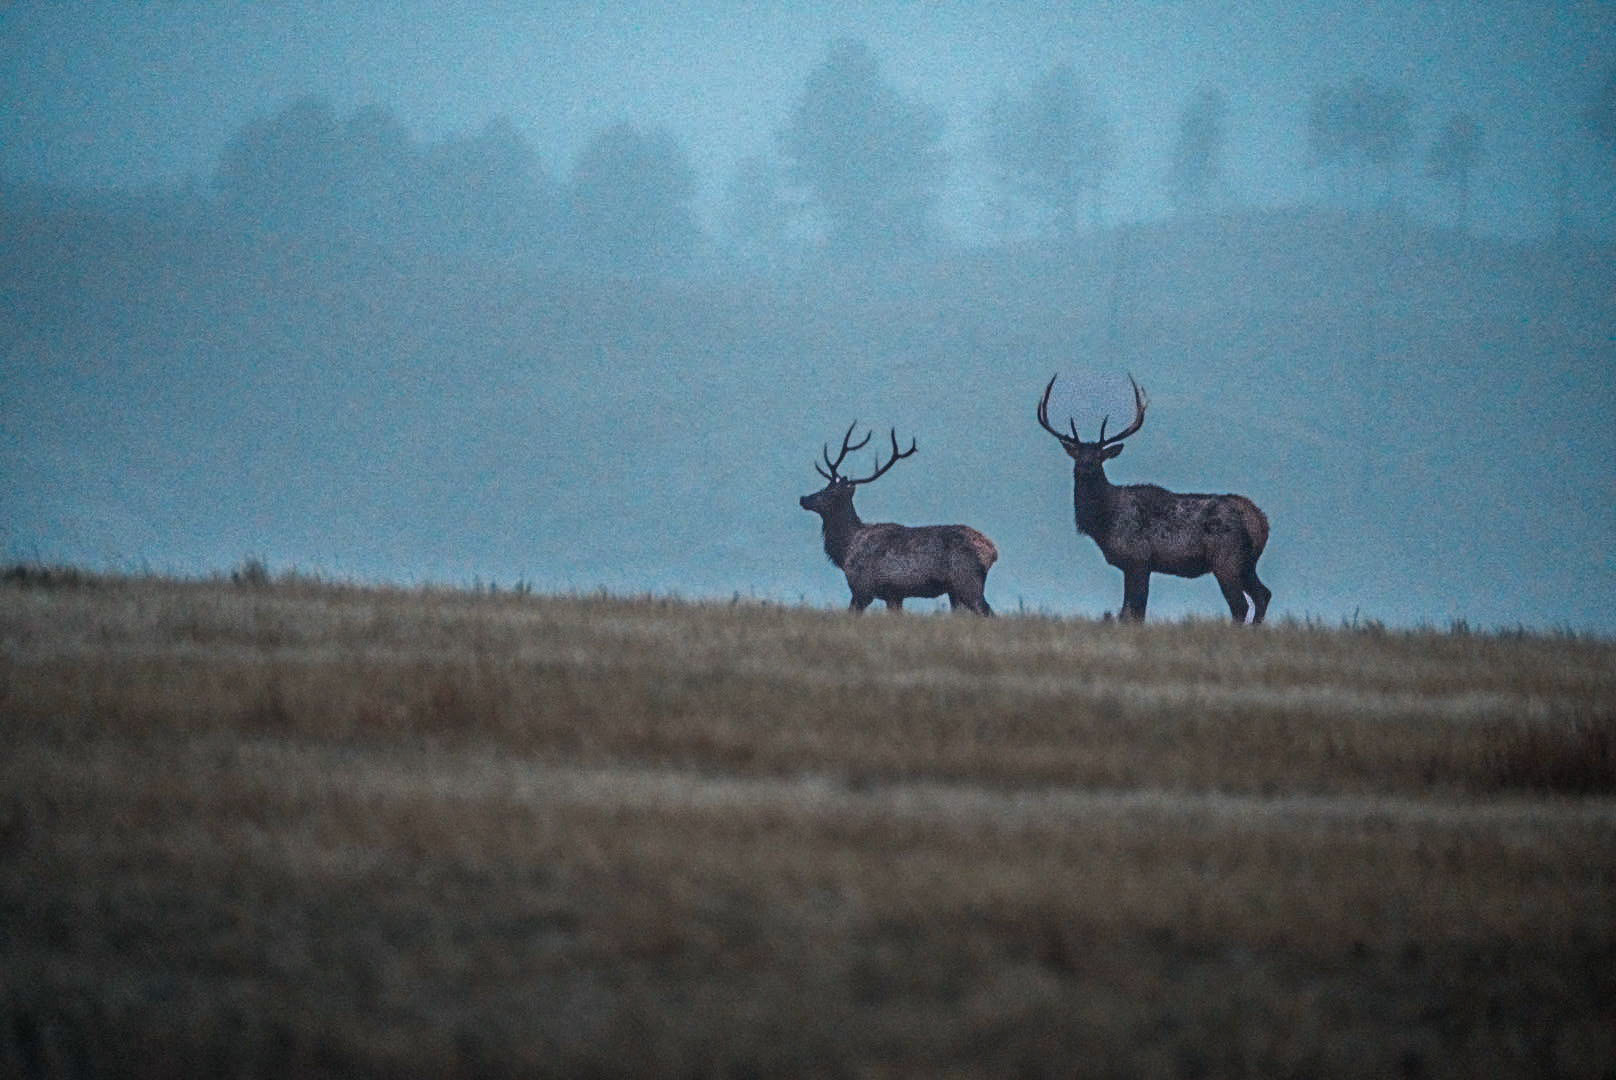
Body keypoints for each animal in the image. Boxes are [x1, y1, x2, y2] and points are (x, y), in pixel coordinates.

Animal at [799, 423, 998, 615]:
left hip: (966, 581)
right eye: (825, 485)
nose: (804, 498)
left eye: (830, 492)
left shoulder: (862, 588)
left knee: (987, 612)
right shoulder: (894, 595)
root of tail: (992, 551)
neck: (845, 550)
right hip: (955, 590)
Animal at [1036, 374, 1271, 624]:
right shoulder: (1134, 564)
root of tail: (1259, 520)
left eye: (1100, 457)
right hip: (1248, 563)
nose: (1086, 467)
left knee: (1240, 605)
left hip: (1226, 558)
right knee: (1263, 594)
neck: (1103, 523)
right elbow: (1130, 610)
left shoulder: (1138, 558)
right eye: (1078, 455)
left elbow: (1134, 610)